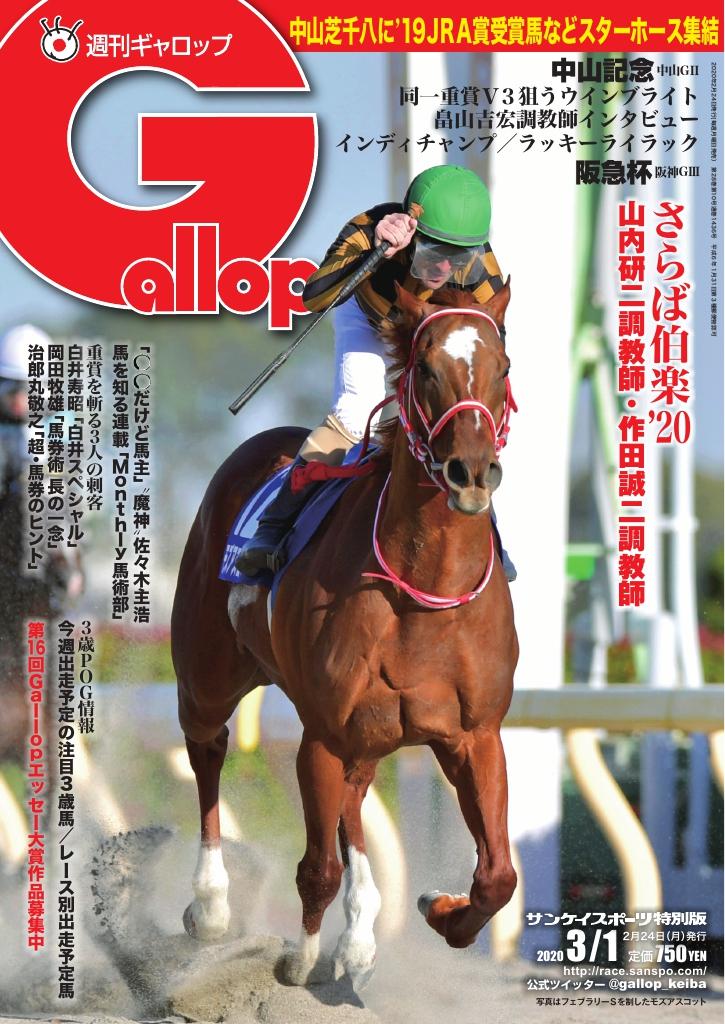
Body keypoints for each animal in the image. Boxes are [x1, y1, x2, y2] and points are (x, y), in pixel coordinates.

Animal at [171, 281, 518, 988]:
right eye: (426, 369)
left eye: (501, 369)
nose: (472, 473)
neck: (422, 591)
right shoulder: (323, 733)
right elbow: (317, 867)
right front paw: (298, 960)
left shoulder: (474, 734)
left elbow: (498, 875)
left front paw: (441, 908)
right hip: (207, 675)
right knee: (209, 749)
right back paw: (213, 906)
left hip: (370, 730)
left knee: (354, 803)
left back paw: (360, 935)